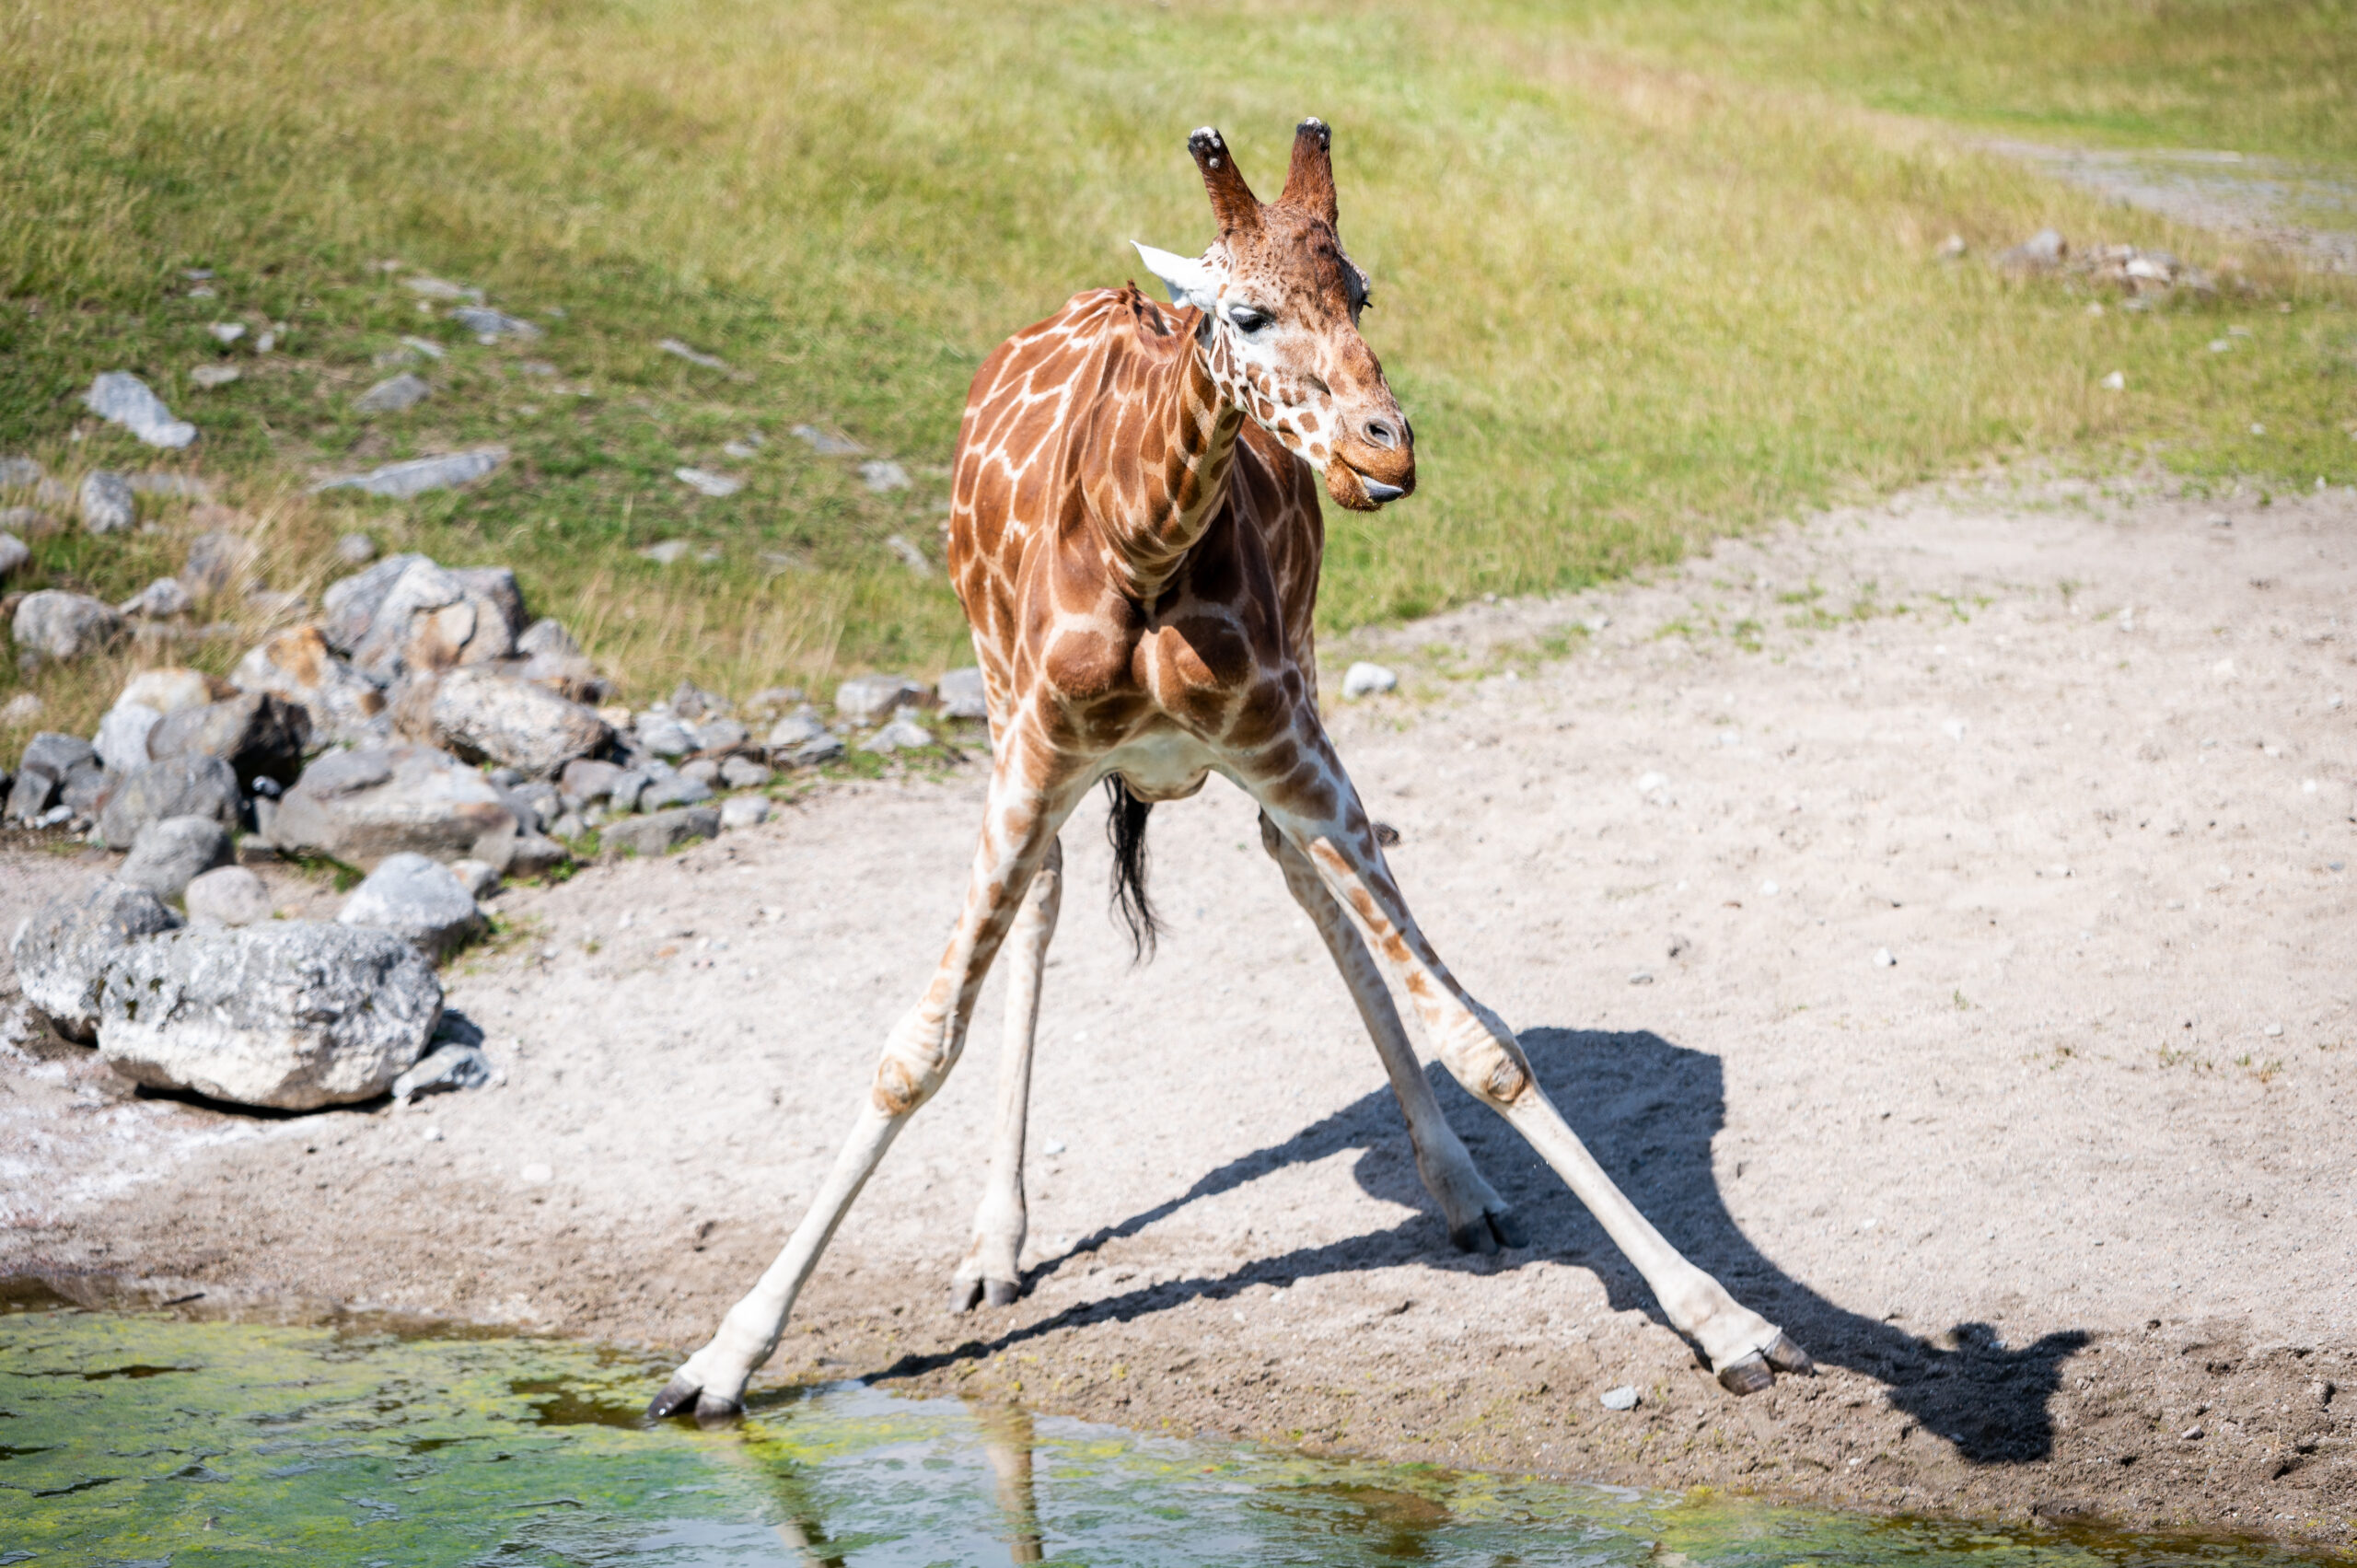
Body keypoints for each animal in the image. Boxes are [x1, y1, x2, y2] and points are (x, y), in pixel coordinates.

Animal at [655, 119, 1810, 1414]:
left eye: (1361, 291)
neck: (1136, 542)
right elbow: (915, 1050)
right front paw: (721, 1358)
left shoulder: (1285, 743)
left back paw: (1460, 1190)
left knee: (1304, 885)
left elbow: (1480, 1037)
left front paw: (1725, 1320)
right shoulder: (1035, 753)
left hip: (1293, 696)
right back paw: (995, 1245)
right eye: (1244, 315)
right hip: (1002, 703)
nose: (1386, 448)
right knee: (1049, 901)